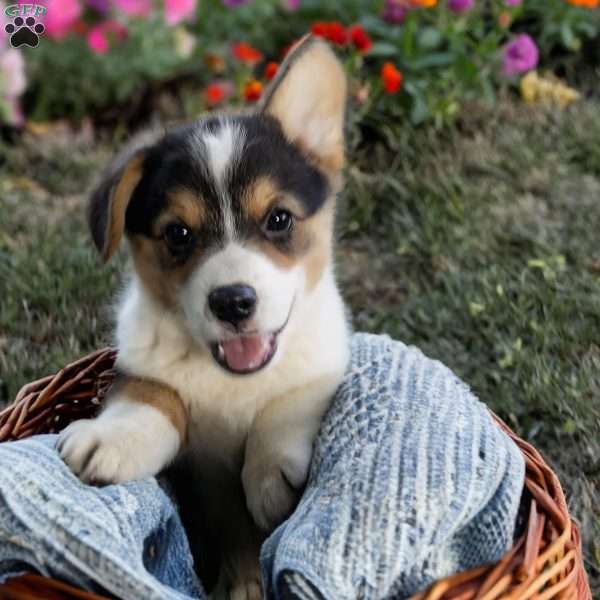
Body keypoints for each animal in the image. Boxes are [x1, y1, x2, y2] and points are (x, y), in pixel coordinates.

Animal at [58, 37, 350, 600]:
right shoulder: (139, 370)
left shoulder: (329, 362)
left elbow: (288, 399)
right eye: (178, 234)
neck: (233, 381)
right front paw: (113, 438)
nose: (233, 302)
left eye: (278, 219)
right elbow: (154, 396)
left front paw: (269, 478)